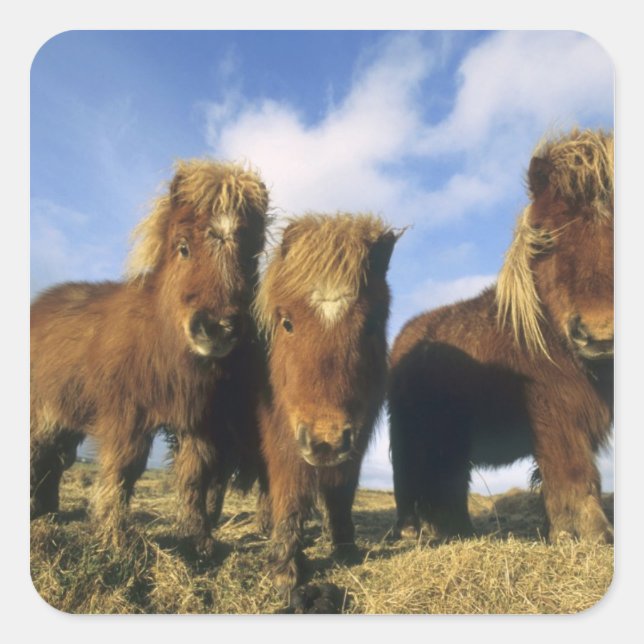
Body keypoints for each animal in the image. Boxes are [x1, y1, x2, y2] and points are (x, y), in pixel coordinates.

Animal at [30, 160, 269, 556]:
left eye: (250, 257)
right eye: (183, 247)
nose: (217, 328)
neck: (160, 338)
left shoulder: (198, 422)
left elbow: (194, 477)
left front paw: (198, 542)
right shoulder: (127, 415)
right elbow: (123, 469)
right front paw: (114, 539)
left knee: (52, 459)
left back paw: (46, 512)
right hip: (44, 412)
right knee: (39, 454)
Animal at [254, 213, 401, 593]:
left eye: (371, 324)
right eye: (287, 322)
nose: (325, 442)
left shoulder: (355, 441)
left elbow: (341, 493)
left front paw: (345, 547)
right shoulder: (283, 436)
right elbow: (289, 490)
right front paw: (285, 567)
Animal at [388, 128, 614, 544]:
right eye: (547, 237)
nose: (599, 336)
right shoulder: (555, 414)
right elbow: (573, 471)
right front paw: (589, 535)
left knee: (447, 481)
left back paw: (456, 530)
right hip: (410, 434)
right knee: (410, 478)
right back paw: (414, 531)